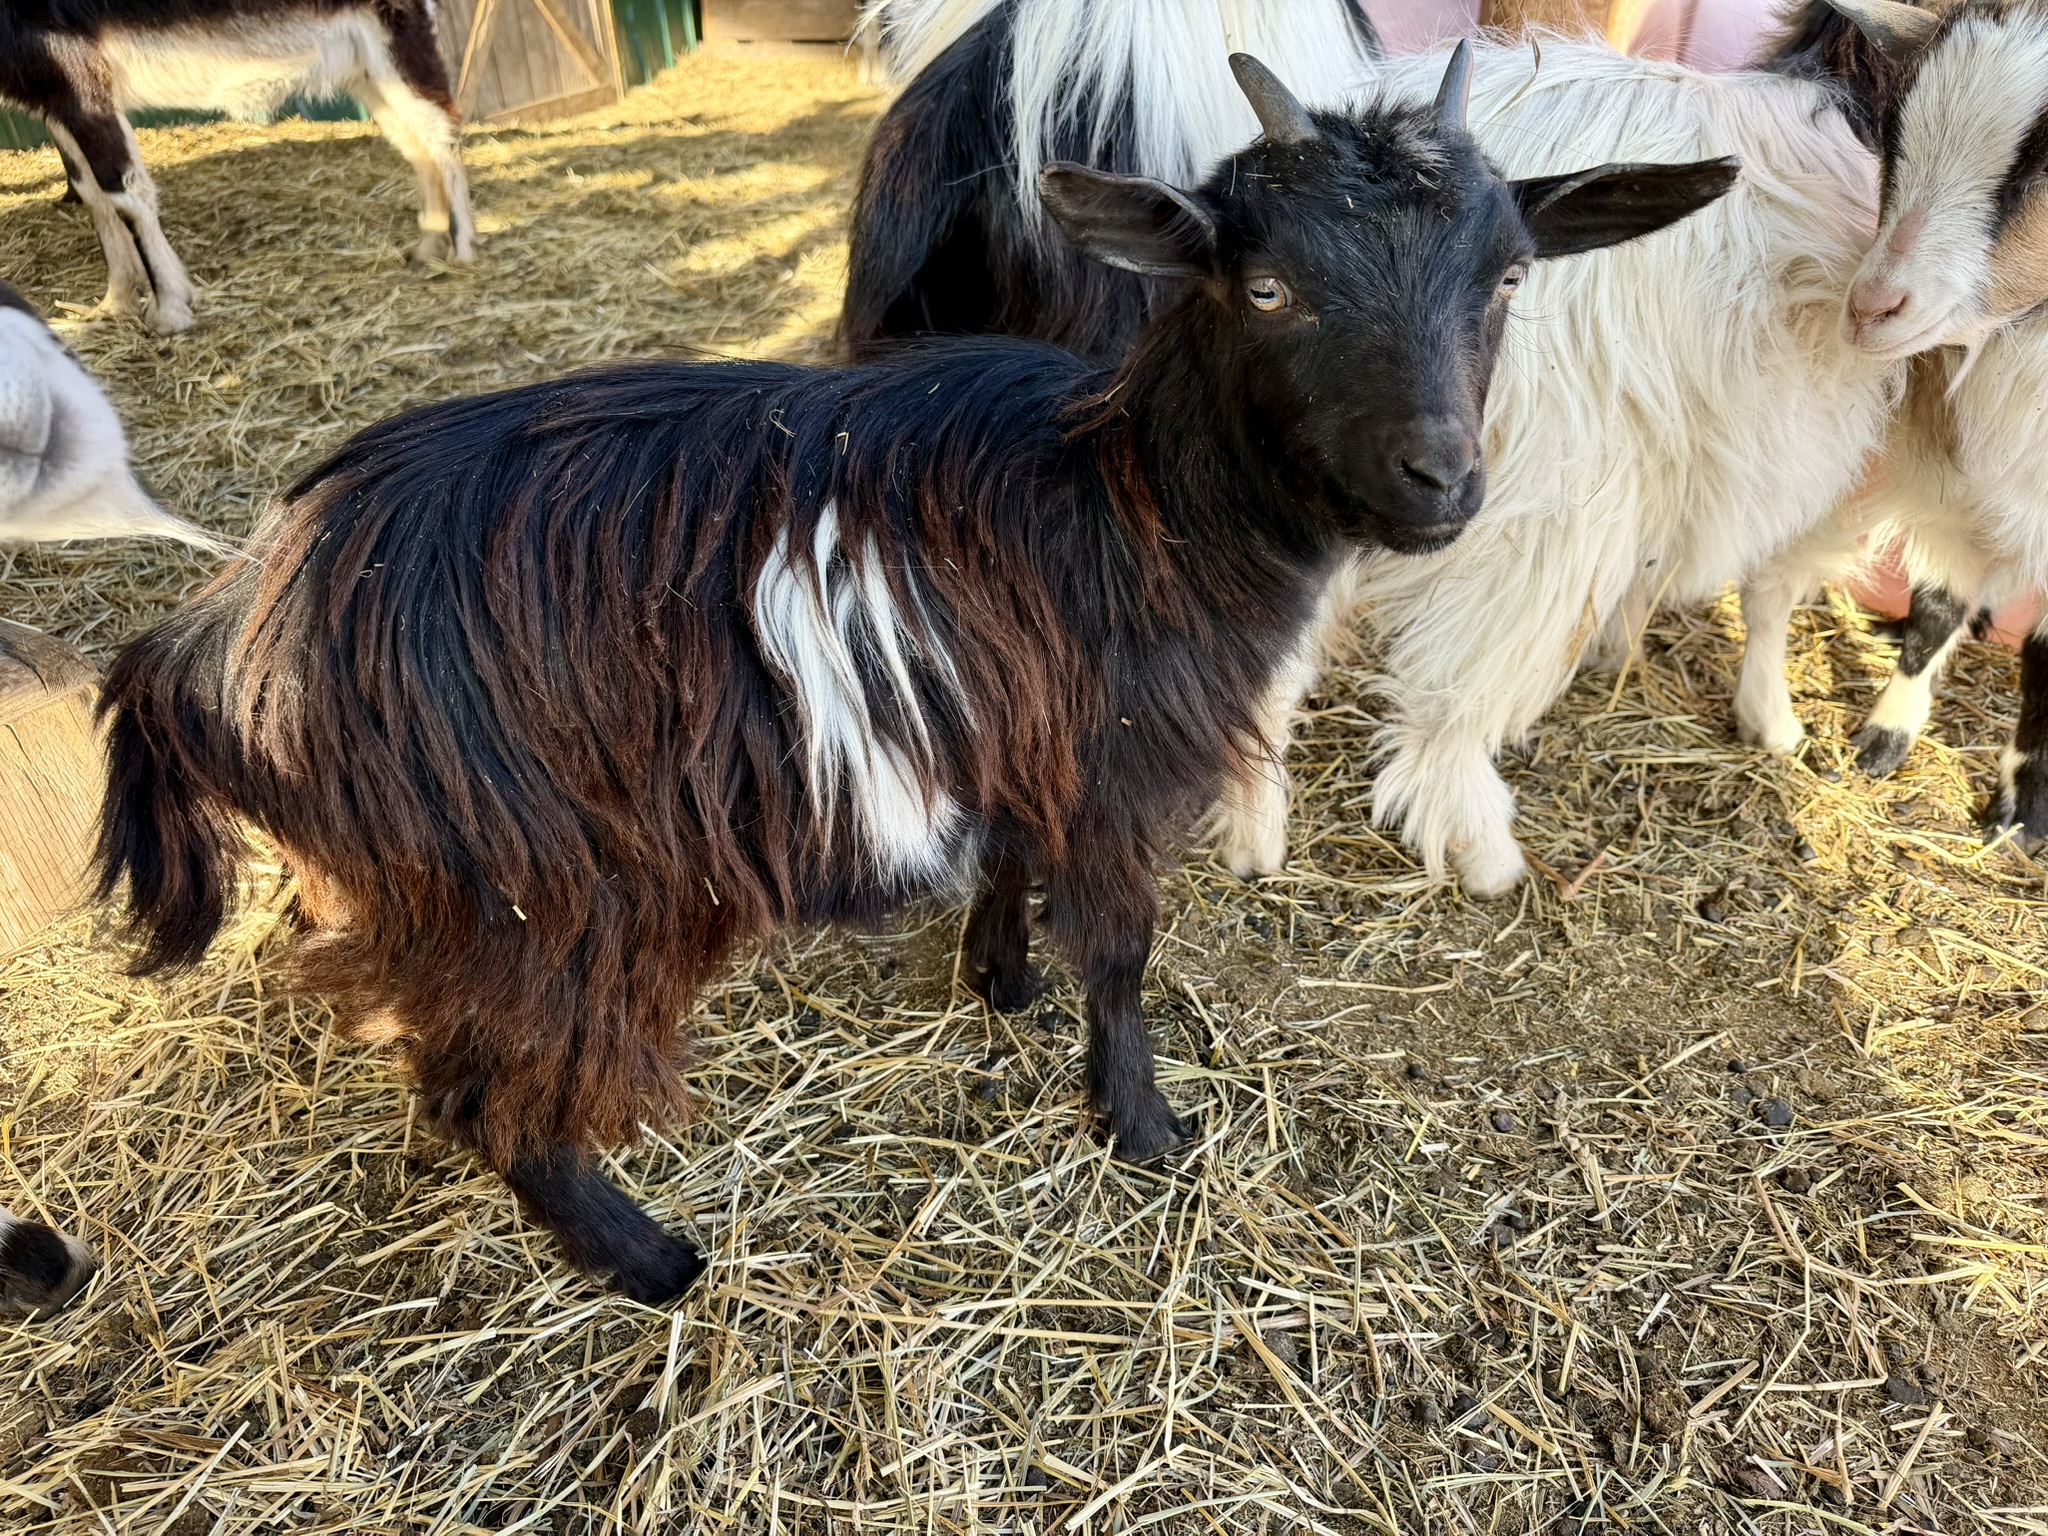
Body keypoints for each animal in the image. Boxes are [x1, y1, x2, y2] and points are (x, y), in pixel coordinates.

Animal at [2, 1, 475, 334]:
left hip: (394, 36)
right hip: (364, 68)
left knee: (439, 132)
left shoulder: (80, 78)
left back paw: (463, 248)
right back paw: (428, 247)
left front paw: (169, 308)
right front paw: (114, 302)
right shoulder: (54, 96)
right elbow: (92, 193)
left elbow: (122, 194)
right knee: (415, 144)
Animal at [93, 50, 1736, 1300]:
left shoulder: (1013, 727)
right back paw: (650, 1260)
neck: (1132, 497)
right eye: (1263, 286)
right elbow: (1123, 952)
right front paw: (1143, 1124)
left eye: (1508, 275)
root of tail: (215, 635)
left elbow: (1010, 868)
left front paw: (999, 981)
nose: (1440, 485)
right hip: (545, 889)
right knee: (488, 1091)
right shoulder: (1113, 765)